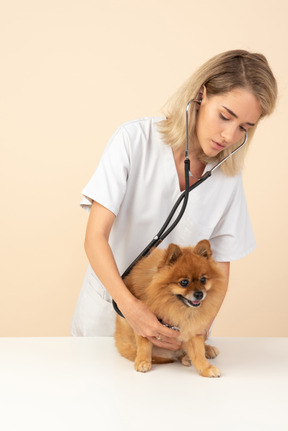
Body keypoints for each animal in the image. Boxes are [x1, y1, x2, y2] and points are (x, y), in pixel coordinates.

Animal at [113, 240, 226, 378]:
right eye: (184, 282)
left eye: (203, 280)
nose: (199, 294)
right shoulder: (141, 321)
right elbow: (144, 343)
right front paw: (143, 361)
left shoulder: (190, 326)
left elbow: (198, 351)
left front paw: (206, 368)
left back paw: (206, 350)